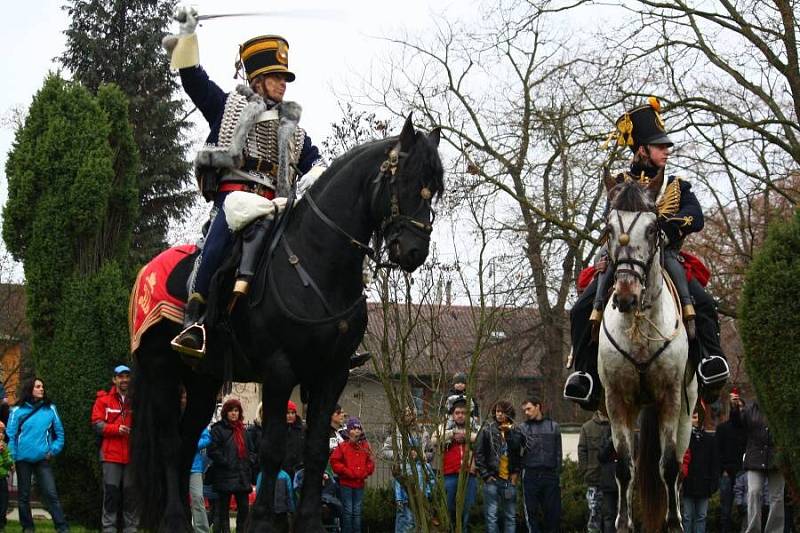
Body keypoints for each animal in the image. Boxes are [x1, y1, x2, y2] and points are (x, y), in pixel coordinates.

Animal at [130, 117, 444, 532]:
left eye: (434, 187)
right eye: (403, 179)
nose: (414, 251)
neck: (316, 261)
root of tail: (145, 274)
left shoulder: (332, 374)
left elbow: (315, 449)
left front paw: (309, 521)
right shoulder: (279, 370)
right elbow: (274, 448)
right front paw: (262, 521)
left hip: (203, 381)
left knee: (185, 441)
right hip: (162, 370)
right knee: (168, 442)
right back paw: (175, 520)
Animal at [596, 171, 696, 532]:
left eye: (653, 229)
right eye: (609, 228)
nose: (626, 295)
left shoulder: (670, 397)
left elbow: (668, 466)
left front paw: (675, 523)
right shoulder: (616, 400)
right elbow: (625, 467)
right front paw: (623, 523)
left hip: (686, 409)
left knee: (677, 468)